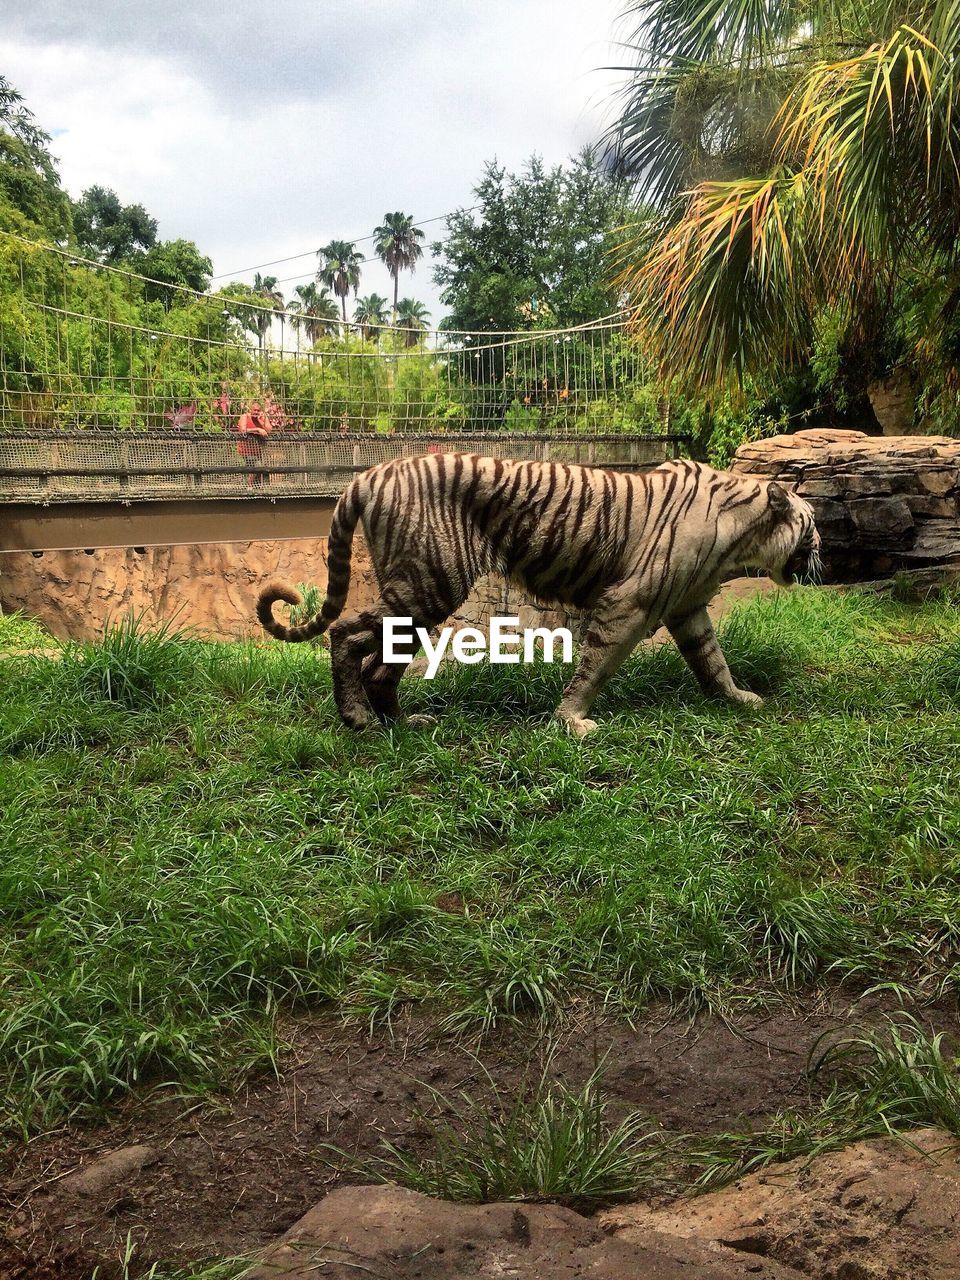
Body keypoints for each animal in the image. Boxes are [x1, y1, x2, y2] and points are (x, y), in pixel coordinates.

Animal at [259, 455, 824, 737]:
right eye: (813, 523)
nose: (824, 548)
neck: (740, 539)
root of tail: (370, 473)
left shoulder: (688, 609)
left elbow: (713, 661)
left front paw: (739, 699)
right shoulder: (629, 604)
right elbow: (596, 665)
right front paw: (572, 721)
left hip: (421, 593)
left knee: (379, 663)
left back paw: (401, 723)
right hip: (429, 584)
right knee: (344, 633)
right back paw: (357, 720)